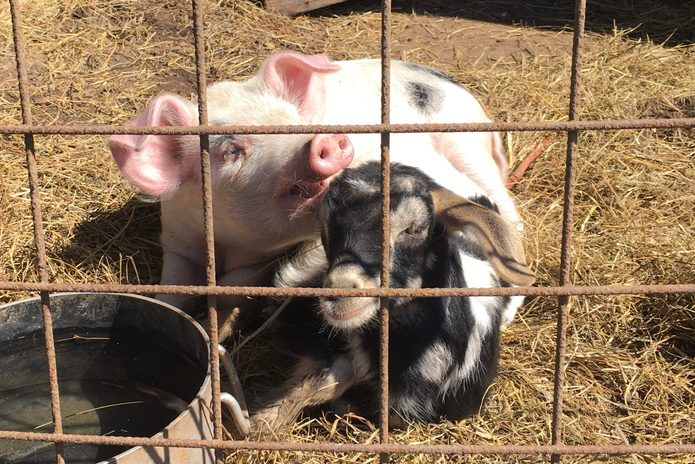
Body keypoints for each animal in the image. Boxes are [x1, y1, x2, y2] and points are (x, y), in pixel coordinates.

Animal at [108, 52, 522, 315]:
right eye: (230, 150)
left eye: (292, 121)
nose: (326, 139)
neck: (224, 246)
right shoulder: (177, 238)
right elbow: (171, 288)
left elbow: (234, 286)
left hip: (465, 144)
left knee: (509, 215)